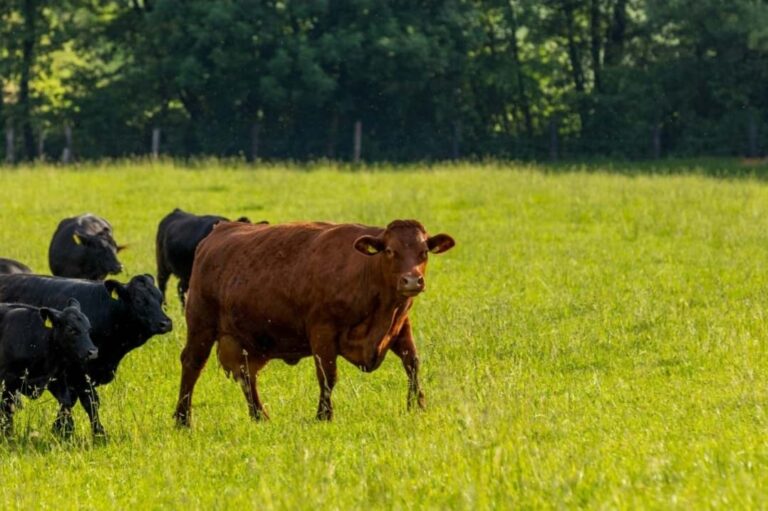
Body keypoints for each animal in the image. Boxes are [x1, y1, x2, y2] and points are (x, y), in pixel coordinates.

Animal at [0, 299, 97, 436]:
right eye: (71, 330)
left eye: (88, 329)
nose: (93, 352)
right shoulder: (8, 381)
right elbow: (7, 411)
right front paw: (8, 436)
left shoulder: (55, 377)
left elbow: (66, 402)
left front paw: (65, 432)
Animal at [173, 219, 455, 426]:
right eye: (389, 251)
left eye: (423, 252)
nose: (412, 280)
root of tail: (220, 230)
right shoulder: (322, 331)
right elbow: (328, 375)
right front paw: (324, 415)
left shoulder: (400, 326)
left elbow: (412, 363)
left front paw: (417, 405)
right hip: (201, 325)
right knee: (192, 365)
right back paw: (183, 419)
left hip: (245, 341)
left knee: (246, 374)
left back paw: (259, 416)